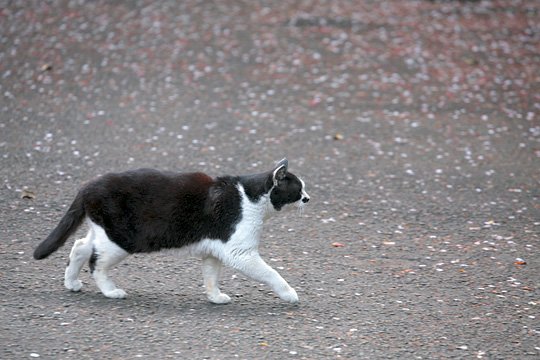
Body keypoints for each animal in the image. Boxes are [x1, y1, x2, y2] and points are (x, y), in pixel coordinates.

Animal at [33, 159, 310, 302]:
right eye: (298, 189)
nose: (308, 198)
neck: (252, 199)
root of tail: (88, 185)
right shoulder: (240, 252)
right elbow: (271, 273)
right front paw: (289, 293)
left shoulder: (215, 251)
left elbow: (211, 276)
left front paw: (215, 297)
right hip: (121, 238)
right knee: (95, 262)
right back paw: (111, 291)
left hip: (105, 233)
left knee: (80, 246)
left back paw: (71, 282)